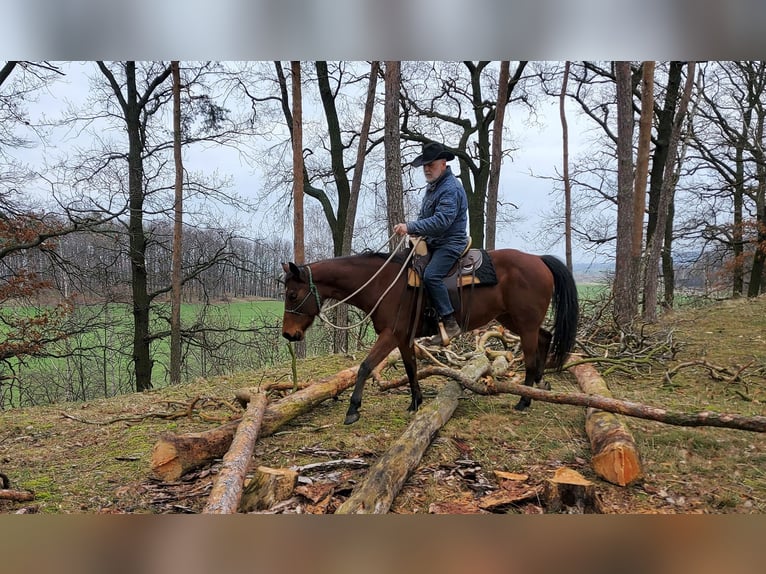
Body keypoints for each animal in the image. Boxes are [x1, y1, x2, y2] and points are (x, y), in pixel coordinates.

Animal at [281, 248, 579, 425]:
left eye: (292, 294)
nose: (288, 334)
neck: (384, 284)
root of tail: (538, 259)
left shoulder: (390, 335)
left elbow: (365, 366)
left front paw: (353, 409)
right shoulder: (403, 338)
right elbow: (411, 368)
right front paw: (416, 402)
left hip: (524, 323)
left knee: (530, 356)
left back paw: (524, 399)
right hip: (513, 319)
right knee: (545, 338)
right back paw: (539, 383)